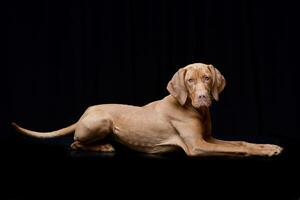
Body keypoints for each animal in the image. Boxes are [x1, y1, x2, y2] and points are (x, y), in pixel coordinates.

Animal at [12, 62, 284, 156]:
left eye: (207, 78)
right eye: (190, 81)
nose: (203, 98)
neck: (196, 111)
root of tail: (85, 112)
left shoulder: (208, 138)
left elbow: (241, 142)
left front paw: (269, 146)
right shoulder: (197, 146)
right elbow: (238, 149)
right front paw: (265, 152)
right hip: (102, 122)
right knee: (74, 143)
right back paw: (103, 146)